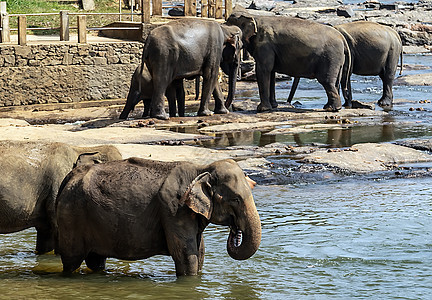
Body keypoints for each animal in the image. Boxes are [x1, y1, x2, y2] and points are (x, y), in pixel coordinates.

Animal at [55, 158, 262, 276]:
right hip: (71, 216)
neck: (201, 169)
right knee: (72, 260)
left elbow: (200, 253)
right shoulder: (173, 209)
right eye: (235, 199)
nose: (235, 231)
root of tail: (68, 177)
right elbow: (187, 257)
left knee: (96, 260)